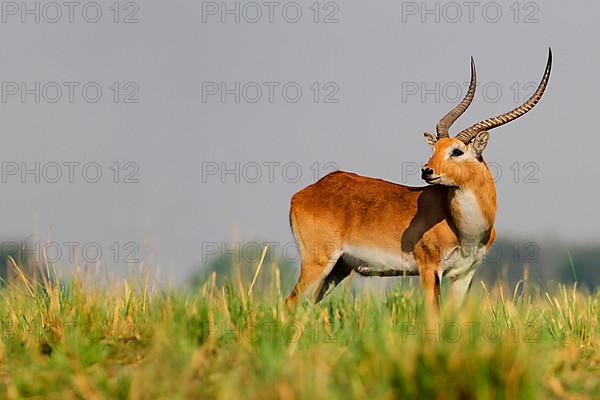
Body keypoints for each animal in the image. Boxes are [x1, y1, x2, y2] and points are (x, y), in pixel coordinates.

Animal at [286, 49, 552, 310]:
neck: (464, 227)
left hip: (338, 269)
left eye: (457, 151)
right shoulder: (429, 269)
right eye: (436, 148)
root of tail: (304, 193)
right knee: (291, 303)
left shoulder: (463, 274)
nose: (427, 171)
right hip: (317, 263)